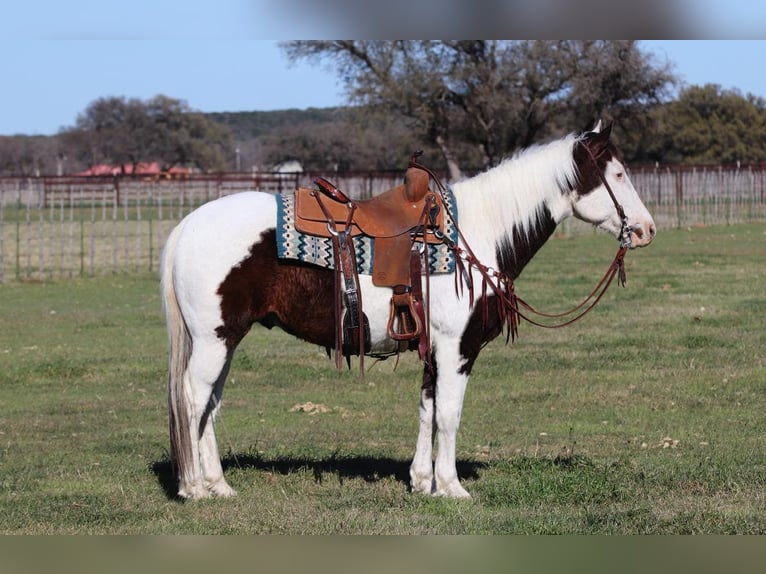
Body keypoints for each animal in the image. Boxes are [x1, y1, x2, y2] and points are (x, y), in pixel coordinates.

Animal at [160, 122, 656, 500]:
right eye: (617, 173)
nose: (646, 229)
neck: (477, 233)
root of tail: (188, 225)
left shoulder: (433, 348)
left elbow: (427, 408)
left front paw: (422, 482)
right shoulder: (458, 347)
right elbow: (449, 413)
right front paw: (452, 487)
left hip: (225, 341)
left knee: (210, 405)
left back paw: (219, 485)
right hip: (214, 339)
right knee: (194, 399)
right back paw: (194, 488)